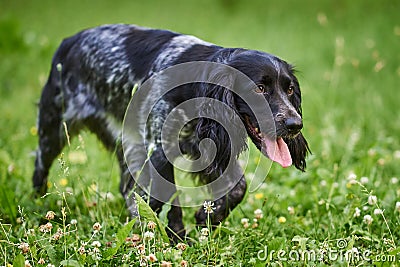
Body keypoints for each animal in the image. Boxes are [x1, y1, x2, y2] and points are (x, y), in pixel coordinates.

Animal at [32, 24, 310, 241]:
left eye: (289, 89)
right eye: (259, 88)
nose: (295, 124)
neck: (195, 88)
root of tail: (69, 41)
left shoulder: (209, 147)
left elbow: (238, 188)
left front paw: (206, 218)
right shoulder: (159, 149)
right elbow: (171, 199)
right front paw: (177, 238)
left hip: (129, 144)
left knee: (128, 188)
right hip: (54, 127)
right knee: (40, 164)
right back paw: (39, 205)